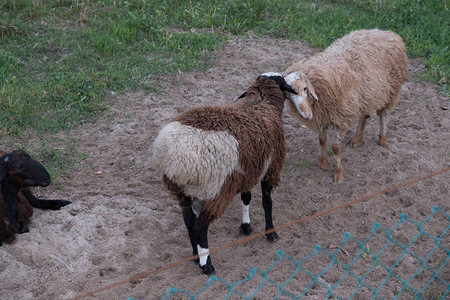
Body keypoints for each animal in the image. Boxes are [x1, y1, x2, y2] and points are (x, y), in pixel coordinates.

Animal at [153, 74, 298, 276]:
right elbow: (267, 202)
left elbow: (246, 197)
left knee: (189, 222)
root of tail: (176, 158)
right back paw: (207, 265)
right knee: (200, 227)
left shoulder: (247, 170)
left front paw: (246, 226)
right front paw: (271, 233)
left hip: (181, 191)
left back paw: (196, 256)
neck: (263, 100)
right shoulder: (271, 167)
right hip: (217, 189)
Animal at [284, 28, 408, 183]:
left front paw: (339, 174)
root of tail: (386, 33)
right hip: (365, 93)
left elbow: (335, 148)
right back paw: (356, 138)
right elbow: (322, 140)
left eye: (305, 88)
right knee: (364, 113)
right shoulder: (324, 115)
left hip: (391, 91)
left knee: (383, 115)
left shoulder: (340, 116)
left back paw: (382, 140)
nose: (307, 115)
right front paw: (323, 163)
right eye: (289, 95)